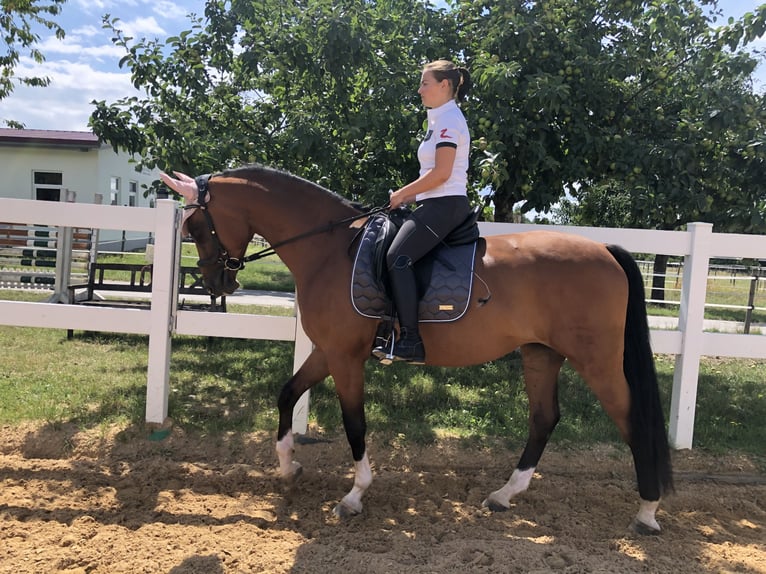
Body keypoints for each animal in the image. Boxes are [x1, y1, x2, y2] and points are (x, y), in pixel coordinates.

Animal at [160, 165, 672, 536]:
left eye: (197, 225)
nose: (216, 282)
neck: (328, 249)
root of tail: (605, 251)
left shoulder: (345, 357)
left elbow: (354, 423)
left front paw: (354, 495)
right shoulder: (327, 351)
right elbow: (287, 394)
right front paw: (288, 467)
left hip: (596, 361)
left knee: (631, 420)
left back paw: (647, 512)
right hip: (540, 354)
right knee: (544, 418)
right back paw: (504, 495)